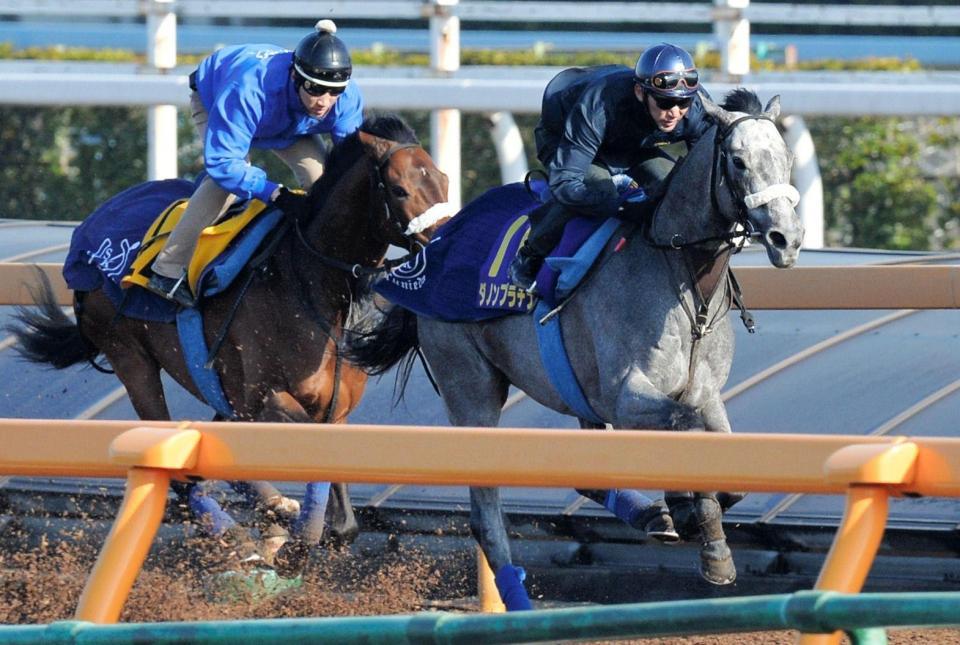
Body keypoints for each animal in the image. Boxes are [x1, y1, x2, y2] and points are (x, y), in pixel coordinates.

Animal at [8, 113, 450, 576]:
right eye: (399, 189)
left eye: (443, 179)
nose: (443, 245)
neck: (310, 283)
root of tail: (90, 229)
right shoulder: (263, 397)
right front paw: (289, 540)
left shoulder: (334, 409)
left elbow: (342, 518)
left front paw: (296, 536)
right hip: (132, 358)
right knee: (180, 470)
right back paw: (247, 532)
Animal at [348, 89, 803, 609]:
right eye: (739, 161)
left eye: (787, 159)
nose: (787, 239)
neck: (683, 279)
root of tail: (432, 245)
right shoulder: (628, 396)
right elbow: (687, 432)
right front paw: (695, 518)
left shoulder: (704, 394)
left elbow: (725, 461)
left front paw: (706, 534)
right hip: (470, 387)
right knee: (486, 518)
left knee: (584, 473)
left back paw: (649, 515)